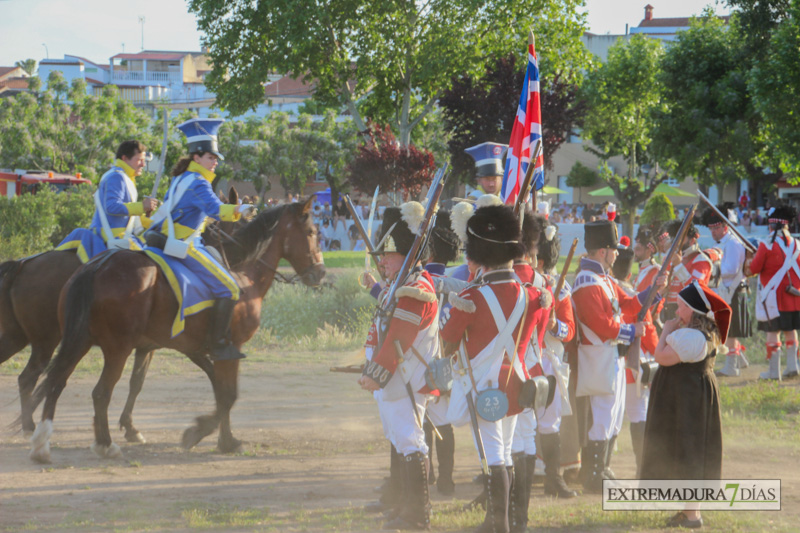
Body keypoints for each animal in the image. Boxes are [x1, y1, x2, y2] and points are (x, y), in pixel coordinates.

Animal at [27, 195, 324, 462]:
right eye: (311, 232)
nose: (320, 273)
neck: (242, 275)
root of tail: (99, 265)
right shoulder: (228, 349)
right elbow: (228, 395)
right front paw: (201, 433)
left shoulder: (198, 351)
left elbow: (220, 392)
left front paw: (224, 439)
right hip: (116, 349)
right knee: (99, 393)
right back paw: (105, 445)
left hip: (79, 342)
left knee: (55, 383)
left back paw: (42, 443)